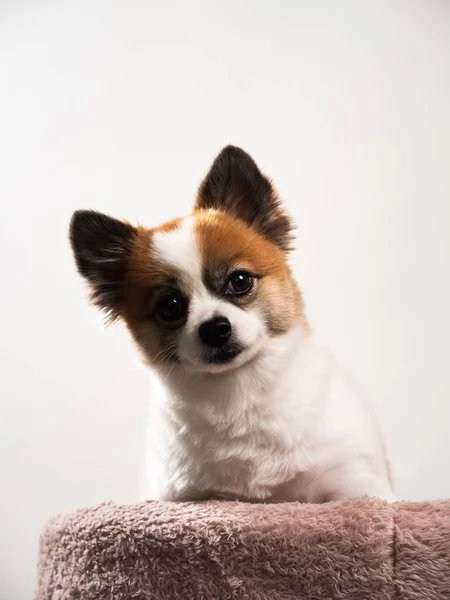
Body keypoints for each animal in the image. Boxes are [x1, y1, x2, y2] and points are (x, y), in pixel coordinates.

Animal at [68, 144, 396, 502]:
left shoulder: (356, 482)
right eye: (170, 307)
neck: (241, 395)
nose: (214, 328)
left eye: (240, 281)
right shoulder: (186, 495)